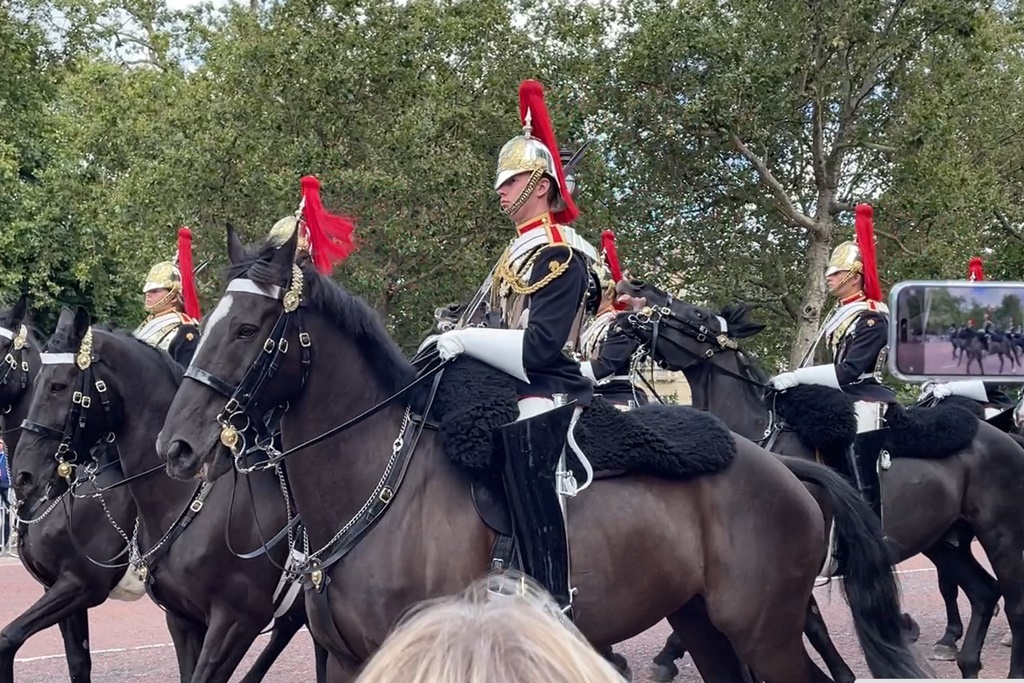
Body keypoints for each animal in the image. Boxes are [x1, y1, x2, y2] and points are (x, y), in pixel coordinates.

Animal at [14, 309, 325, 683]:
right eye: (38, 381)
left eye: (58, 385)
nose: (23, 475)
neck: (183, 497)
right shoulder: (179, 617)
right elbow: (71, 658)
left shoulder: (234, 621)